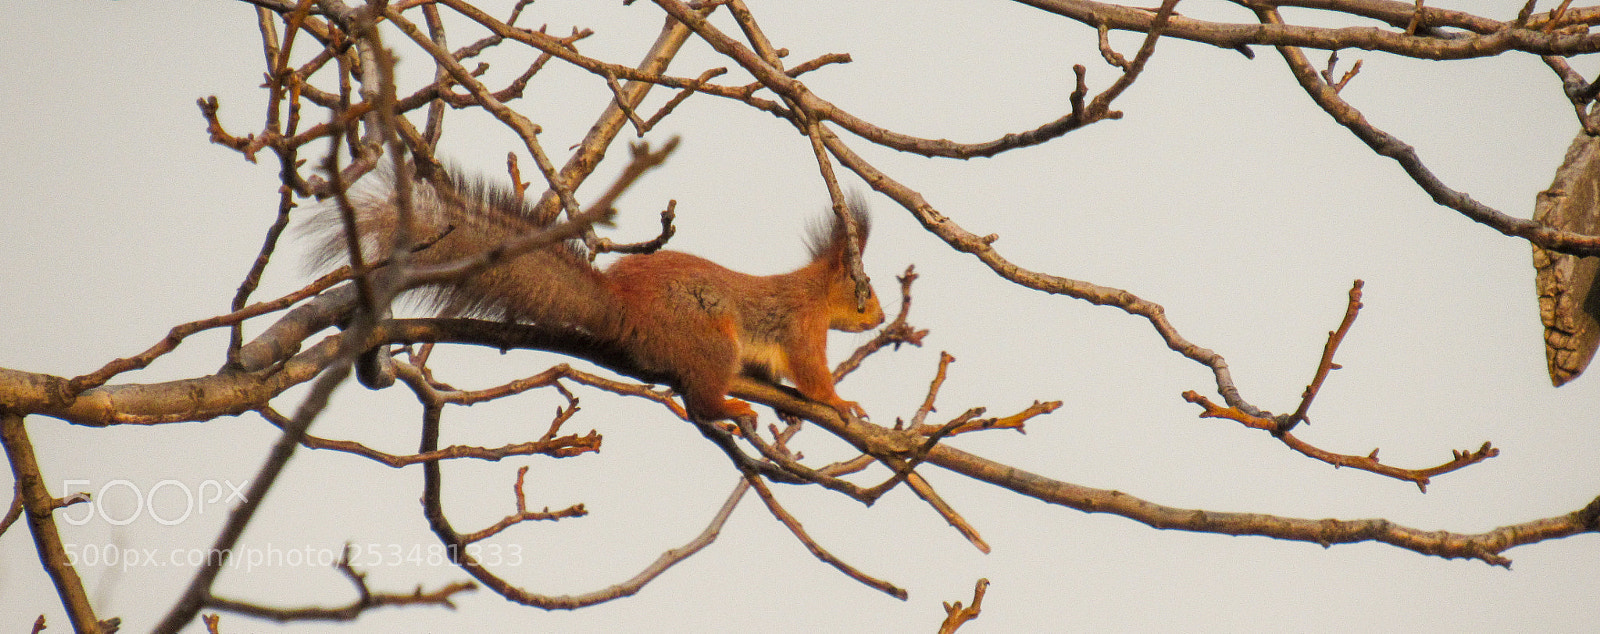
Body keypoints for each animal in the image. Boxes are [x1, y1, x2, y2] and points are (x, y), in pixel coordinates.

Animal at [307, 167, 885, 422]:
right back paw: (728, 407)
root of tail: (623, 306)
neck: (814, 291)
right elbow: (811, 373)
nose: (880, 318)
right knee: (701, 399)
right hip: (707, 335)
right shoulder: (801, 325)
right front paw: (840, 402)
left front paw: (793, 409)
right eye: (864, 291)